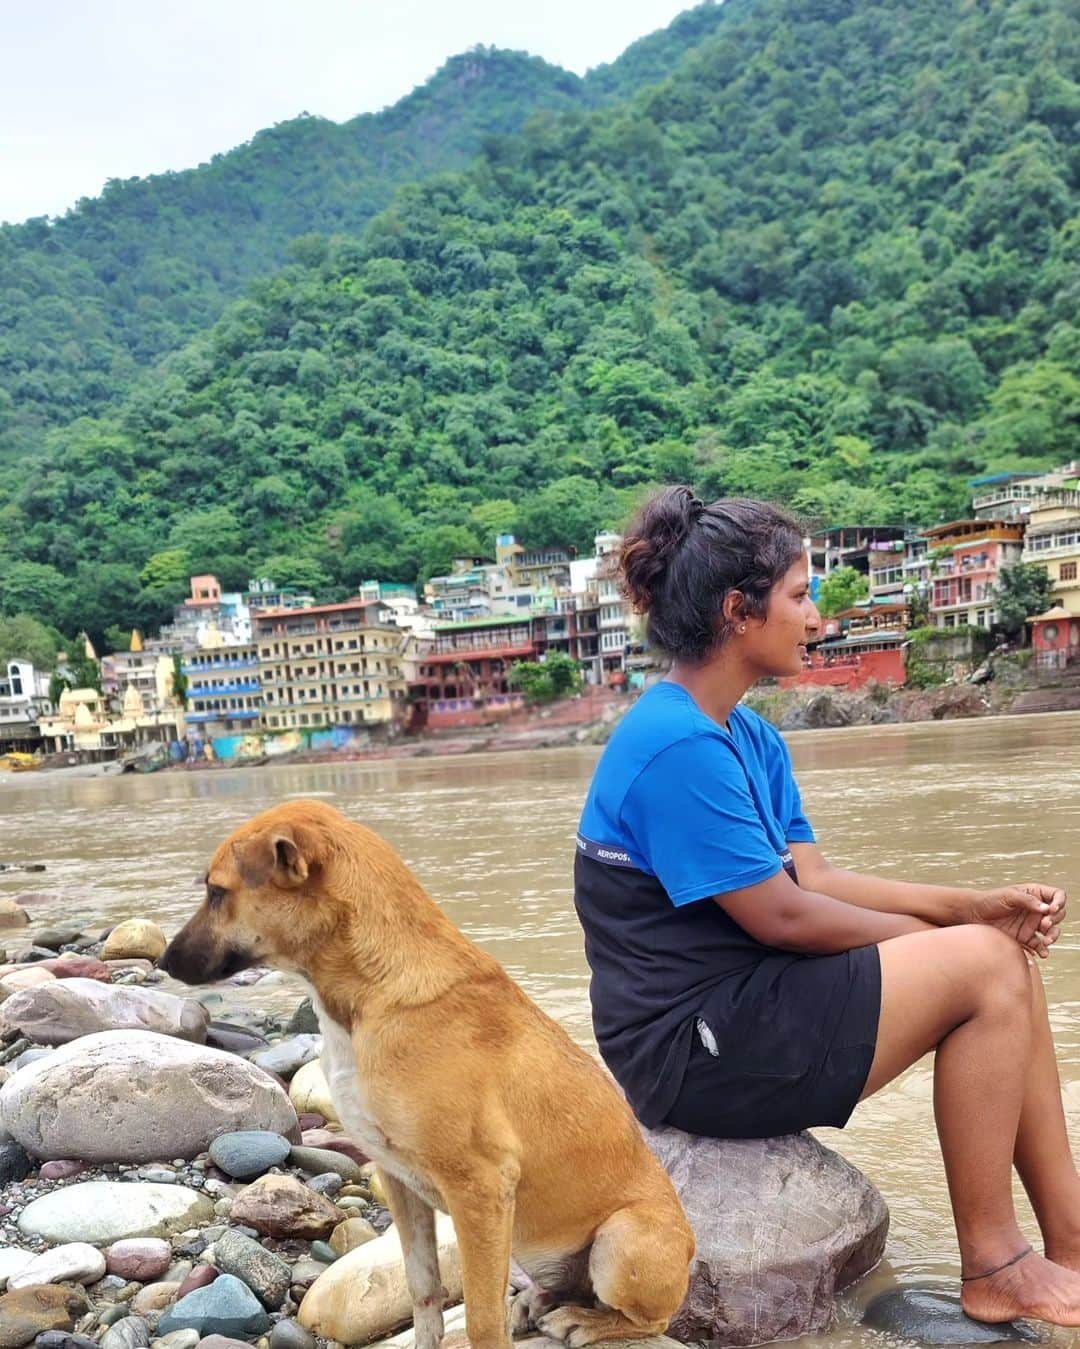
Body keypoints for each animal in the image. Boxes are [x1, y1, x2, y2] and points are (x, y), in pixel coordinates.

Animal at [164, 798, 695, 1349]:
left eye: (217, 892)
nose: (163, 960)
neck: (370, 997)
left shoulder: (480, 1187)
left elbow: (482, 1318)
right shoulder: (398, 1180)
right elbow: (423, 1288)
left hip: (623, 1238)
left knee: (646, 1319)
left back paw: (585, 1321)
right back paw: (540, 1300)